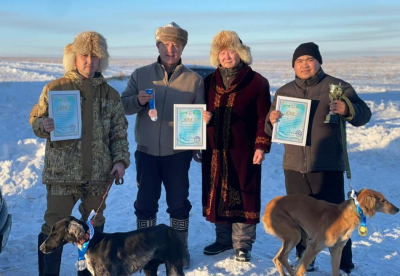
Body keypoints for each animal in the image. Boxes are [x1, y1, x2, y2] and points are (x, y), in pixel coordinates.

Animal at [39, 217, 185, 274]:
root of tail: (172, 230)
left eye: (54, 233)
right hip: (150, 268)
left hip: (174, 267)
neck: (91, 241)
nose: (41, 248)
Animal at [262, 189, 396, 274]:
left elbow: (335, 271)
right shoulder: (313, 247)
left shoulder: (337, 248)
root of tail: (269, 205)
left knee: (279, 258)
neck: (346, 215)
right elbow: (301, 270)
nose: (397, 209)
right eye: (383, 200)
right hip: (295, 234)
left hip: (294, 234)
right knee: (280, 258)